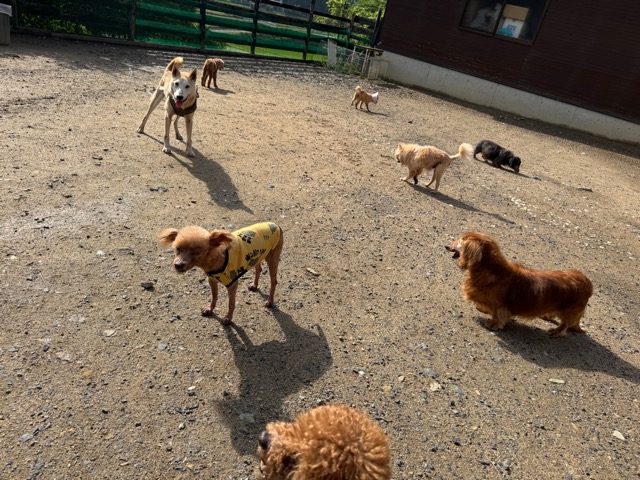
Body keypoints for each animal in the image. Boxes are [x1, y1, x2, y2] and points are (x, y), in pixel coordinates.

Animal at [445, 232, 593, 337]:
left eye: (461, 240)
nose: (446, 246)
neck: (495, 271)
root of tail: (587, 282)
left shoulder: (501, 305)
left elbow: (498, 314)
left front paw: (494, 324)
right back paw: (546, 315)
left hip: (570, 310)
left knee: (565, 324)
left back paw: (556, 331)